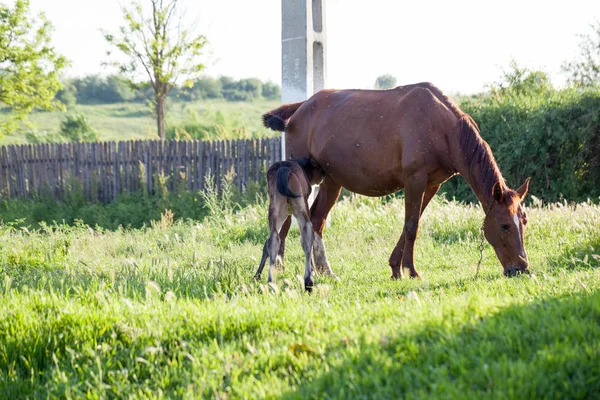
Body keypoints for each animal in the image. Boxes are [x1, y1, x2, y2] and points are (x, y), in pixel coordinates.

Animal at [255, 158, 326, 292]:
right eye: (317, 167)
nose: (323, 175)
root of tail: (284, 168)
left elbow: (268, 243)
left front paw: (257, 275)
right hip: (300, 211)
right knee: (307, 241)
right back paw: (308, 282)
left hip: (275, 211)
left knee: (273, 240)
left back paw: (271, 282)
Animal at [262, 81, 528, 278]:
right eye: (504, 225)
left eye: (523, 221)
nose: (521, 268)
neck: (443, 128)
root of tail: (300, 108)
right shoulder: (415, 180)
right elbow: (411, 226)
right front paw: (410, 270)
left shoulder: (431, 184)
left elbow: (412, 222)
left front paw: (395, 268)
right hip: (298, 182)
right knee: (289, 219)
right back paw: (279, 263)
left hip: (331, 181)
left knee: (317, 221)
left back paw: (325, 270)